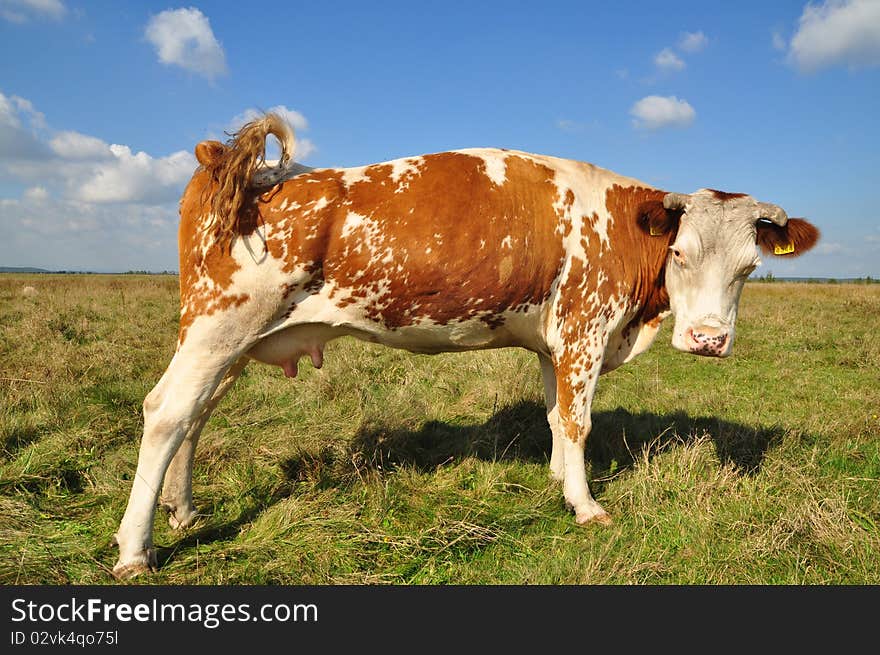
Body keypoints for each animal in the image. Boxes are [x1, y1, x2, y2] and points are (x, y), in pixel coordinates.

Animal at [108, 114, 820, 580]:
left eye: (749, 267)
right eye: (680, 253)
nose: (708, 339)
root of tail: (239, 165)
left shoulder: (552, 343)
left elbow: (555, 416)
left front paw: (558, 480)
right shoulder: (584, 329)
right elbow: (579, 421)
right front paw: (586, 506)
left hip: (228, 338)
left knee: (196, 416)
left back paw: (183, 511)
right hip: (219, 325)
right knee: (167, 412)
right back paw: (135, 550)